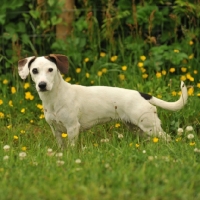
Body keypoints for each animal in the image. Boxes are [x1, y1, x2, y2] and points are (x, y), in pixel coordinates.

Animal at [18, 54, 188, 148]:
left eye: (50, 70)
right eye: (34, 70)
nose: (42, 85)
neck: (55, 98)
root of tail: (141, 95)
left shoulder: (72, 128)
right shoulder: (56, 130)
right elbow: (61, 147)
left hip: (151, 127)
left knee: (168, 138)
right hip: (138, 128)